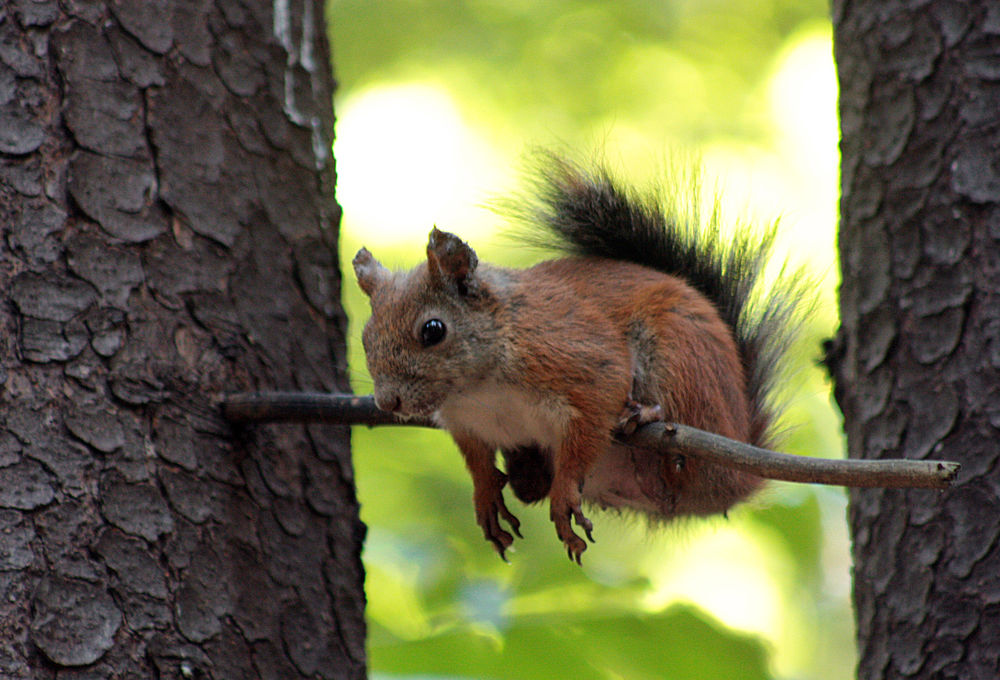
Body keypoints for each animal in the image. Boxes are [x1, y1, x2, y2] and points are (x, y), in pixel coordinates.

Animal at [352, 154, 807, 563]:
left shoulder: (578, 362)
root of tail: (741, 467)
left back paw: (649, 419)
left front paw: (565, 495)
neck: (478, 389)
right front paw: (485, 494)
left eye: (433, 330)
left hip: (682, 362)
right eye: (365, 336)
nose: (388, 402)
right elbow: (477, 460)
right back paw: (526, 472)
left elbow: (588, 427)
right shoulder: (467, 423)